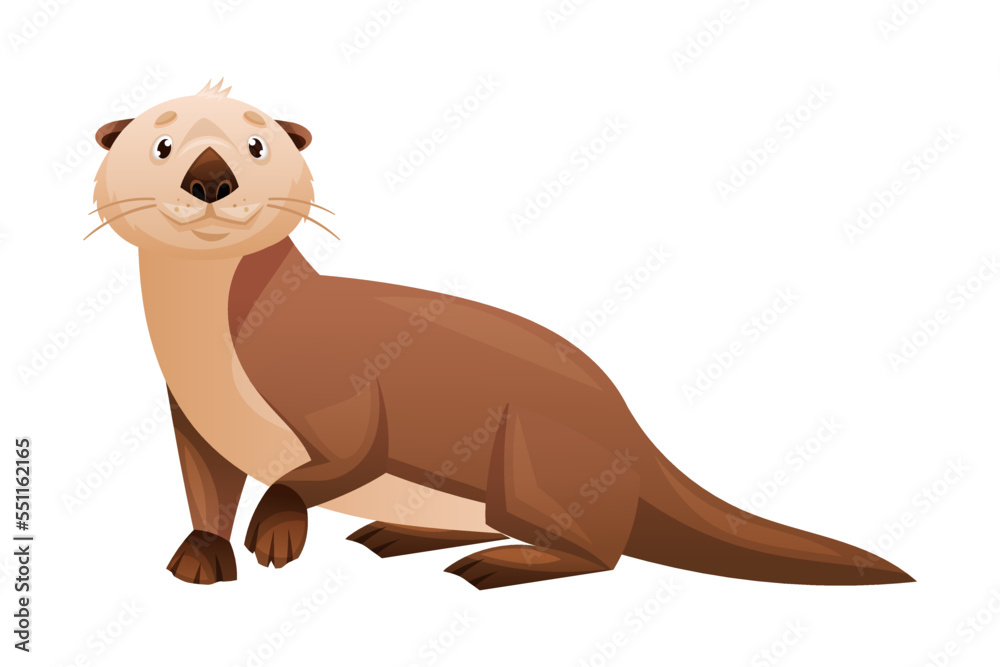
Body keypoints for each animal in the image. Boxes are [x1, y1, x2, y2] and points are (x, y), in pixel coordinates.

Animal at [91, 80, 913, 589]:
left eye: (257, 146)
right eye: (161, 146)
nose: (210, 174)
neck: (215, 353)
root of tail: (632, 434)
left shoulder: (340, 396)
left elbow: (338, 458)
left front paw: (277, 527)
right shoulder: (193, 418)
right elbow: (204, 487)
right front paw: (201, 556)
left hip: (532, 452)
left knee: (601, 552)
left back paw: (500, 566)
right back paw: (399, 536)